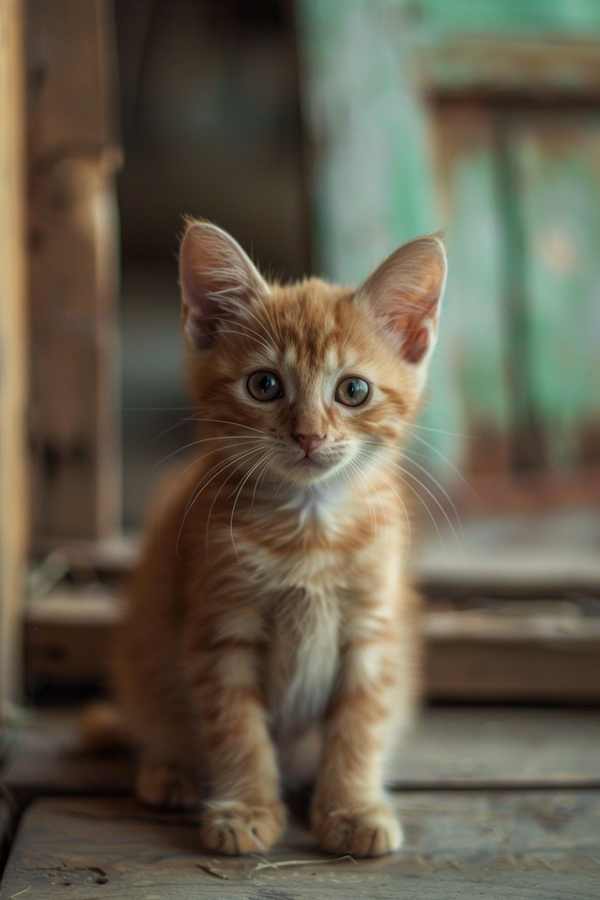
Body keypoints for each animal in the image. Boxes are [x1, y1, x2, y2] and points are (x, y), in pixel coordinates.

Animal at [111, 218, 446, 856]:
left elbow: (360, 724)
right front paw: (246, 807)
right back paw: (169, 771)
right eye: (264, 385)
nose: (309, 436)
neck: (308, 529)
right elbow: (237, 727)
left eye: (353, 391)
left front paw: (353, 808)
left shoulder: (372, 630)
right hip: (143, 666)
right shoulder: (221, 628)